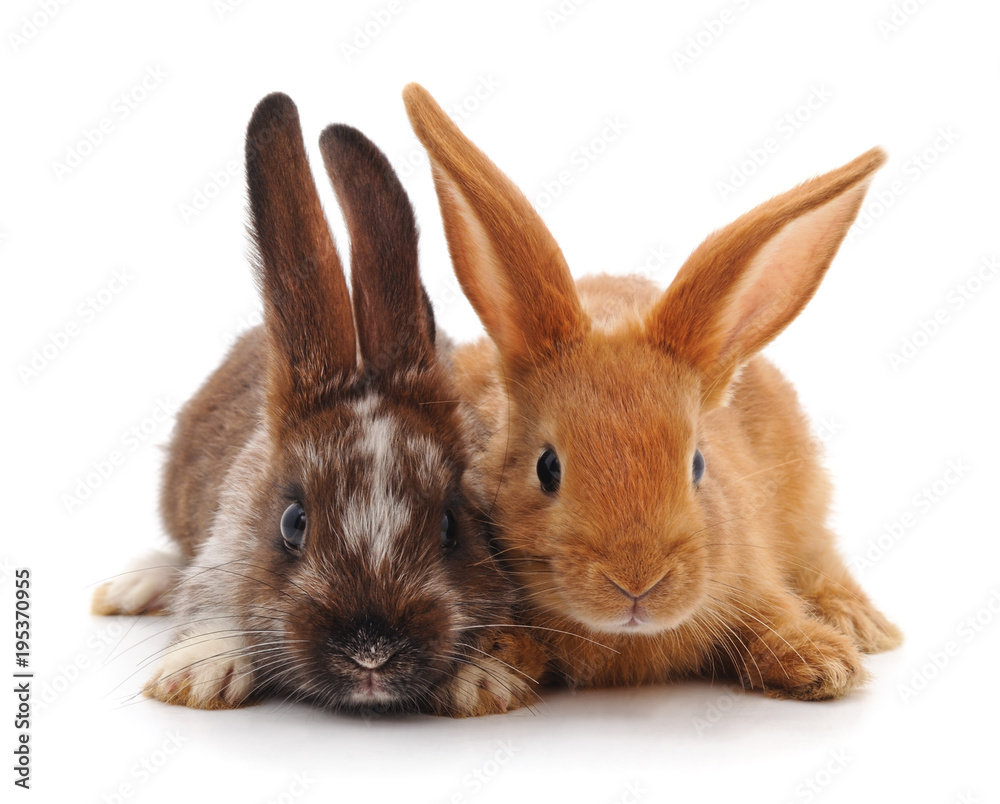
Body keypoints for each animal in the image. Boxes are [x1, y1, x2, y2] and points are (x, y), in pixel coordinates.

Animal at [91, 92, 546, 717]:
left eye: (453, 525)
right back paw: (133, 586)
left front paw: (485, 680)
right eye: (292, 523)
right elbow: (208, 601)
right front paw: (197, 675)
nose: (372, 651)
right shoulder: (224, 546)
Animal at [402, 83, 902, 701]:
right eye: (547, 468)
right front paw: (479, 679)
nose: (636, 582)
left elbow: (772, 612)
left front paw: (824, 662)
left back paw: (860, 622)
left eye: (697, 465)